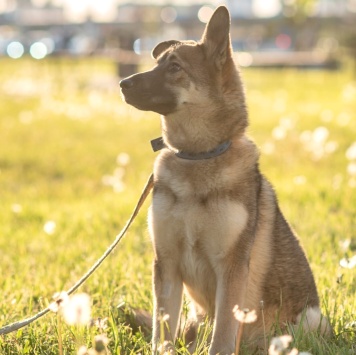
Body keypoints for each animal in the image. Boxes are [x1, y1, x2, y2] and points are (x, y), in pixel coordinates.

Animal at [119, 6, 328, 355]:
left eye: (174, 67)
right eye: (157, 63)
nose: (122, 83)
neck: (198, 156)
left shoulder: (231, 270)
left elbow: (223, 336)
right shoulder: (166, 265)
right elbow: (162, 333)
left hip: (306, 321)